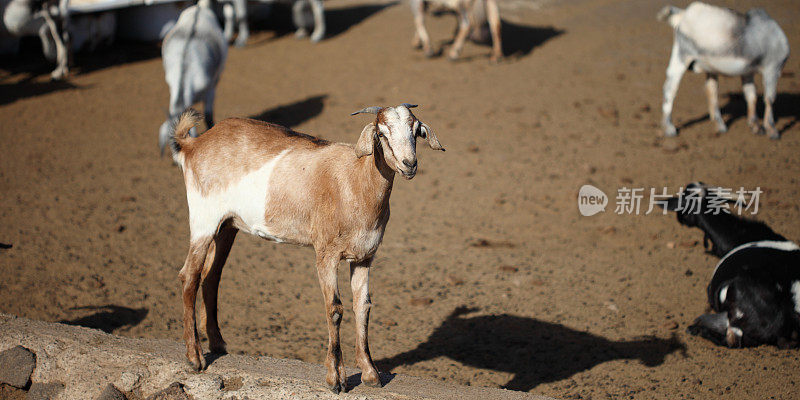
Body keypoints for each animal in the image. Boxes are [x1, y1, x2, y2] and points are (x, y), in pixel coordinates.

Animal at [169, 104, 444, 394]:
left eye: (416, 130)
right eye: (381, 133)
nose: (409, 164)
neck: (355, 181)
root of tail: (194, 144)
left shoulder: (365, 257)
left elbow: (363, 306)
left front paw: (371, 374)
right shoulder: (326, 253)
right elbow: (334, 309)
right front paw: (336, 379)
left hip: (227, 226)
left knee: (211, 278)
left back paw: (218, 344)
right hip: (203, 220)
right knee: (189, 277)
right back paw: (195, 358)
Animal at [660, 2, 792, 139]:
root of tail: (683, 14)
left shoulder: (748, 73)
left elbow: (751, 96)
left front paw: (755, 125)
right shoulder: (772, 68)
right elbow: (769, 98)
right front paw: (772, 130)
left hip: (707, 67)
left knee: (711, 91)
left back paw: (720, 125)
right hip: (682, 56)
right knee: (670, 88)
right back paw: (669, 128)